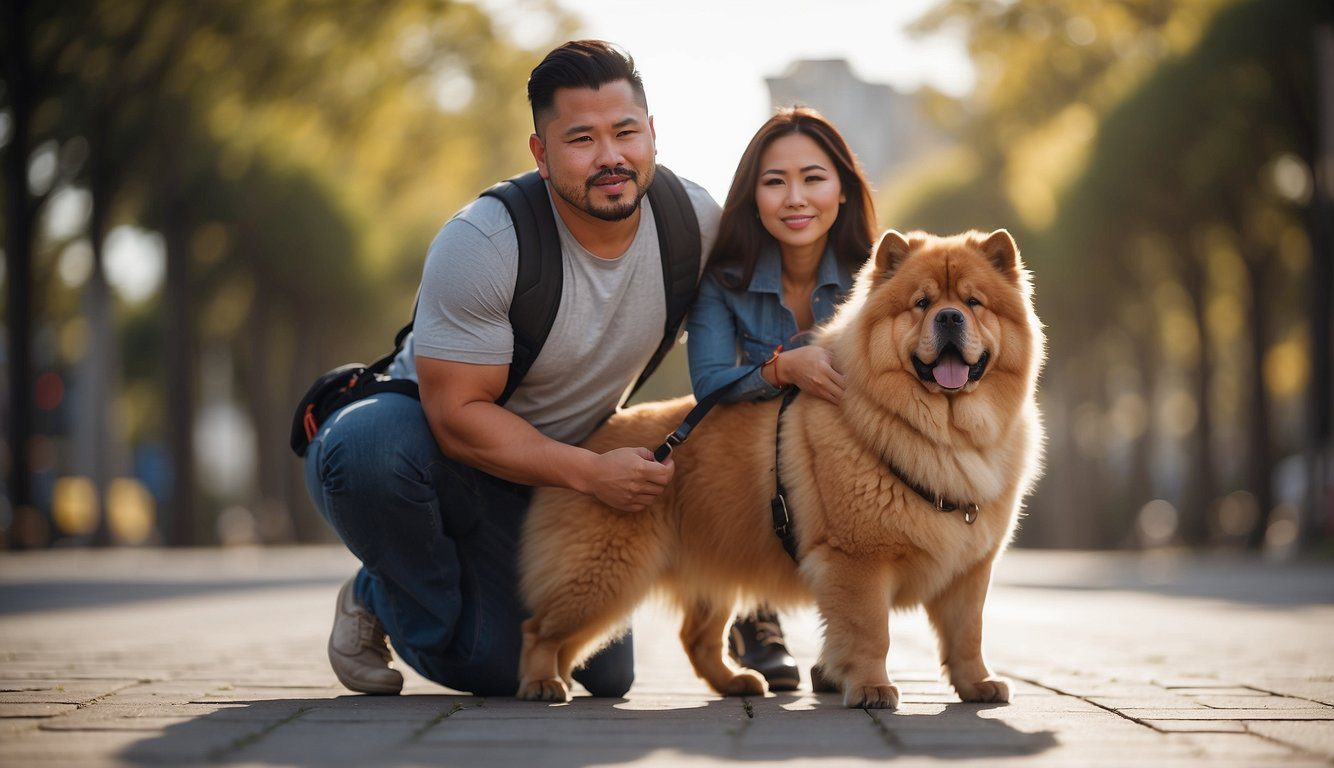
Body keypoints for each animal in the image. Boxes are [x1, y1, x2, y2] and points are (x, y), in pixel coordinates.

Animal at [514, 228, 1045, 709]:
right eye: (921, 303)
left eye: (974, 302)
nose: (950, 316)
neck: (946, 434)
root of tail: (585, 447)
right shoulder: (857, 560)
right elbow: (872, 632)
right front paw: (872, 689)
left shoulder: (970, 568)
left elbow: (968, 635)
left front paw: (978, 685)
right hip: (602, 577)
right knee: (539, 629)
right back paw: (542, 684)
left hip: (710, 571)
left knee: (696, 638)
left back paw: (738, 682)